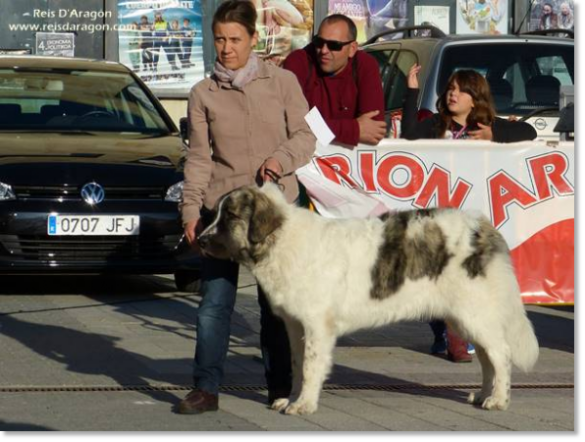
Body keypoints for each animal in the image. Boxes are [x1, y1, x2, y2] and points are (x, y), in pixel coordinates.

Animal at [200, 183, 540, 414]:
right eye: (215, 214)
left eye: (230, 216)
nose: (199, 239)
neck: (280, 239)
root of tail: (483, 226)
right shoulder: (296, 327)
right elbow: (298, 364)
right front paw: (291, 398)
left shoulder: (316, 326)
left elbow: (310, 366)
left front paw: (304, 404)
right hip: (467, 319)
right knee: (487, 358)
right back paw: (483, 395)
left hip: (474, 314)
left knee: (501, 355)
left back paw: (499, 399)